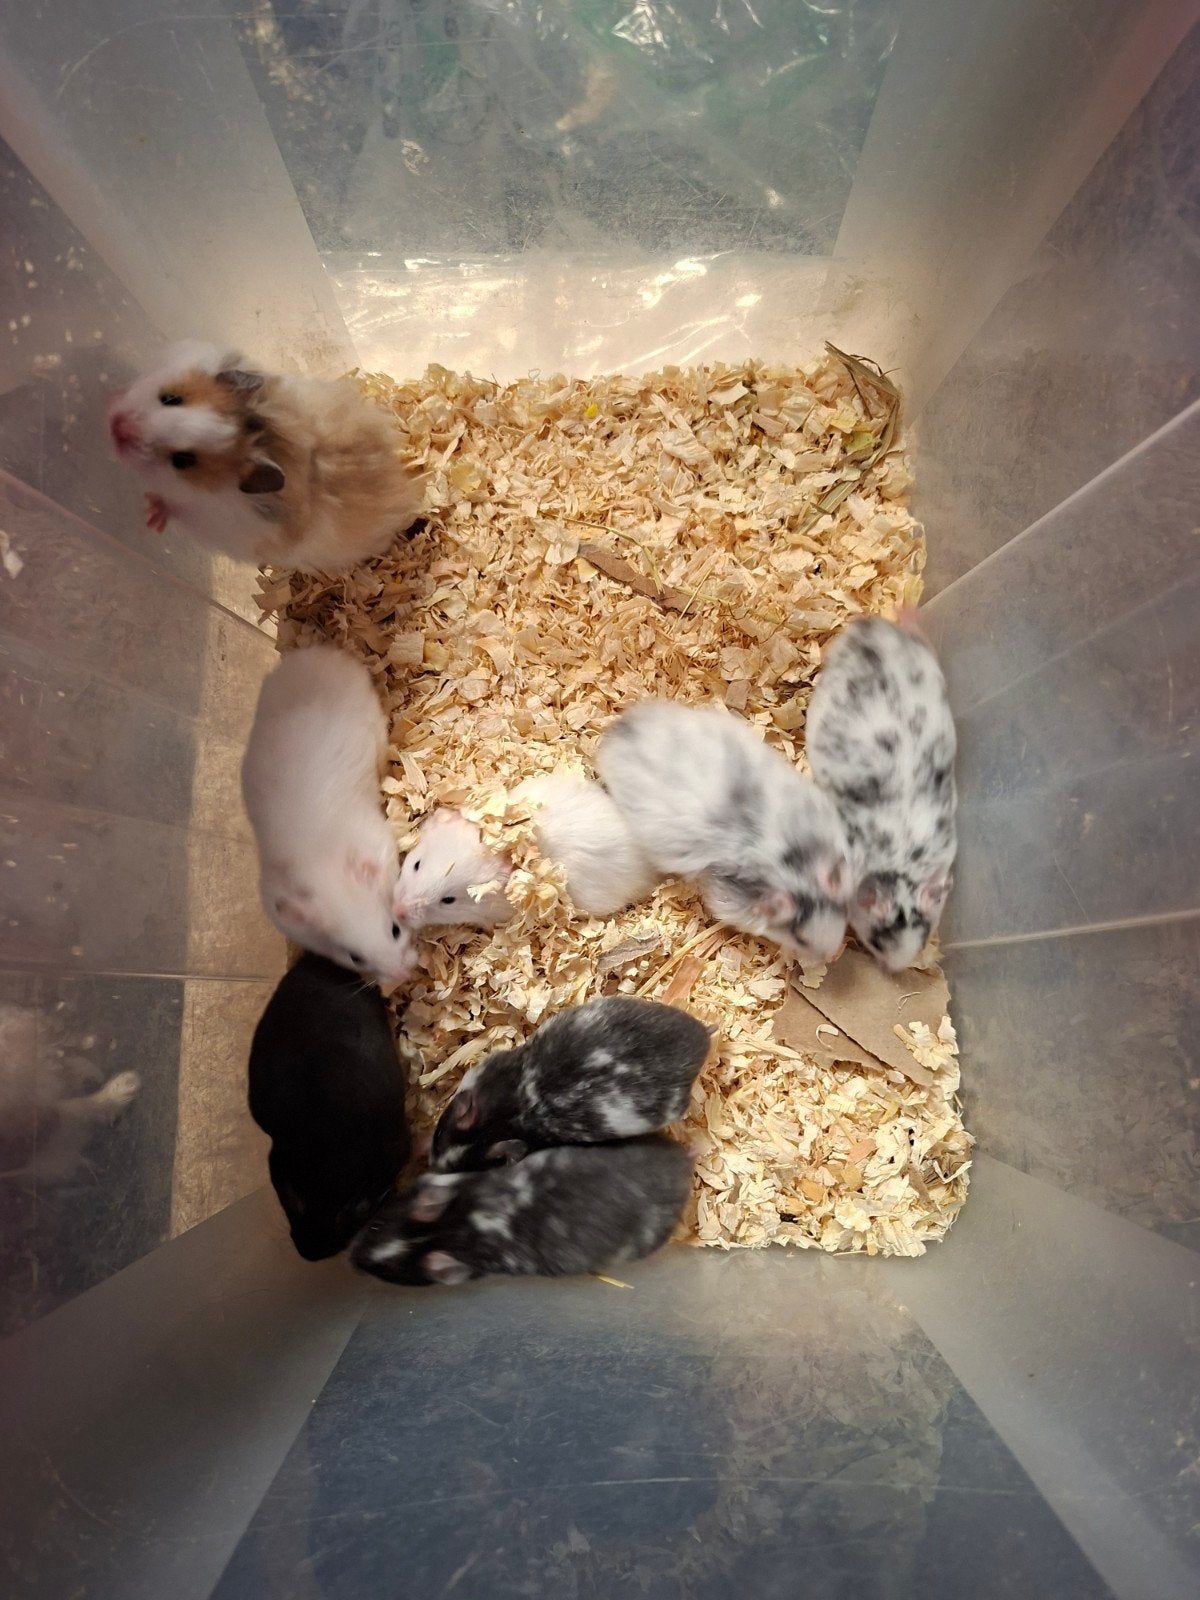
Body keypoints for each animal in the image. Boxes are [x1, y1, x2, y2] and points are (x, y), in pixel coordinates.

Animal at [107, 341, 424, 570]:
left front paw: (151, 515)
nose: (116, 427)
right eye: (171, 399)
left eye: (183, 461)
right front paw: (115, 392)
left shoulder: (208, 519)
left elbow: (172, 506)